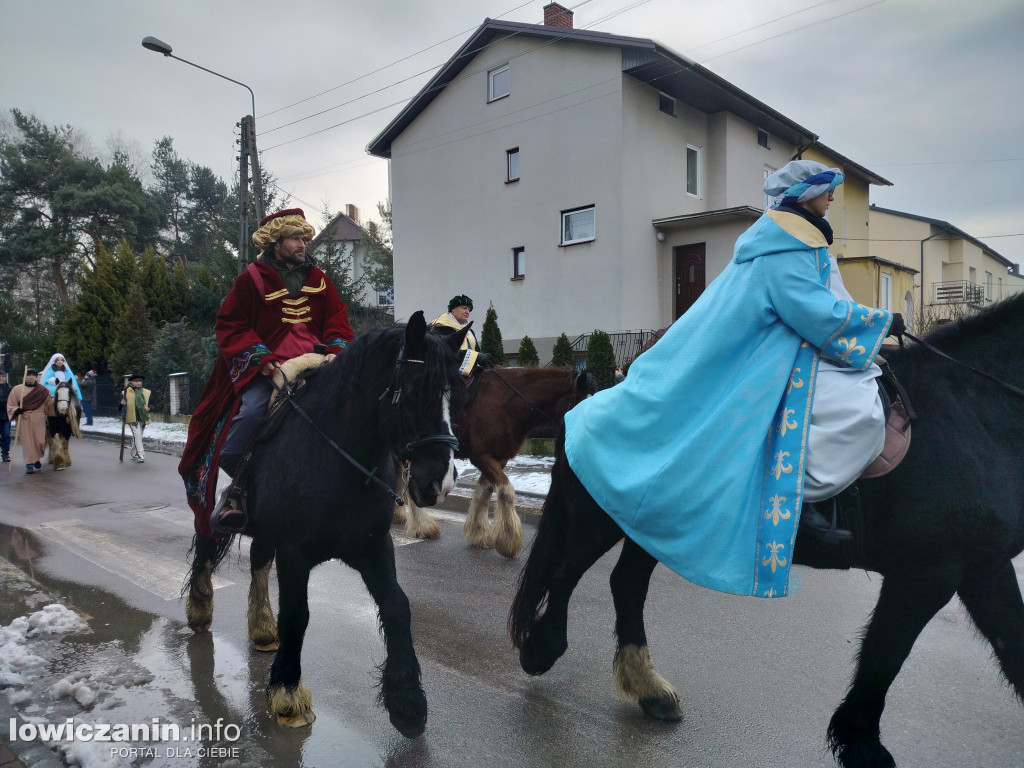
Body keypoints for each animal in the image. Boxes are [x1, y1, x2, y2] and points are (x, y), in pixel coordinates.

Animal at [185, 313, 468, 741]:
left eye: (456, 392)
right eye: (415, 389)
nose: (441, 483)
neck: (338, 454)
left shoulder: (372, 546)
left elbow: (397, 606)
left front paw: (407, 702)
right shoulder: (294, 553)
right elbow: (297, 616)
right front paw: (287, 694)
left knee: (257, 561)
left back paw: (262, 628)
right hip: (208, 509)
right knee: (205, 547)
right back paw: (200, 610)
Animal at [395, 368, 598, 557]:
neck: (506, 404)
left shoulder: (500, 459)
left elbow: (485, 491)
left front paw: (479, 533)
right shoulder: (482, 457)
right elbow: (506, 491)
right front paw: (507, 540)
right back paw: (422, 526)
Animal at [509, 290, 1024, 765]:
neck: (971, 411)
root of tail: (587, 398)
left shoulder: (982, 566)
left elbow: (1011, 645)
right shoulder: (926, 572)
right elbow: (884, 655)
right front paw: (861, 746)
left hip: (647, 526)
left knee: (625, 584)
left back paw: (649, 690)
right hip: (602, 518)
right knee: (566, 574)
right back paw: (544, 649)